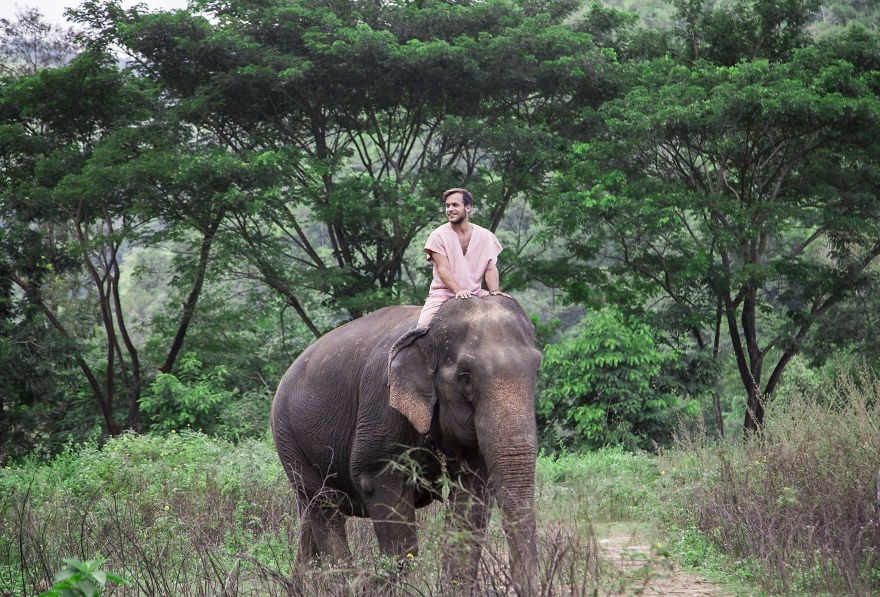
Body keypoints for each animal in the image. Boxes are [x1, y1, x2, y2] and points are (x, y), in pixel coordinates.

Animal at [272, 296, 540, 592]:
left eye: (537, 369)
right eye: (465, 377)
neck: (428, 331)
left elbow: (472, 494)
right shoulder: (382, 405)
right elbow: (377, 483)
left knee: (311, 511)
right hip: (289, 438)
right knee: (324, 507)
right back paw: (344, 585)